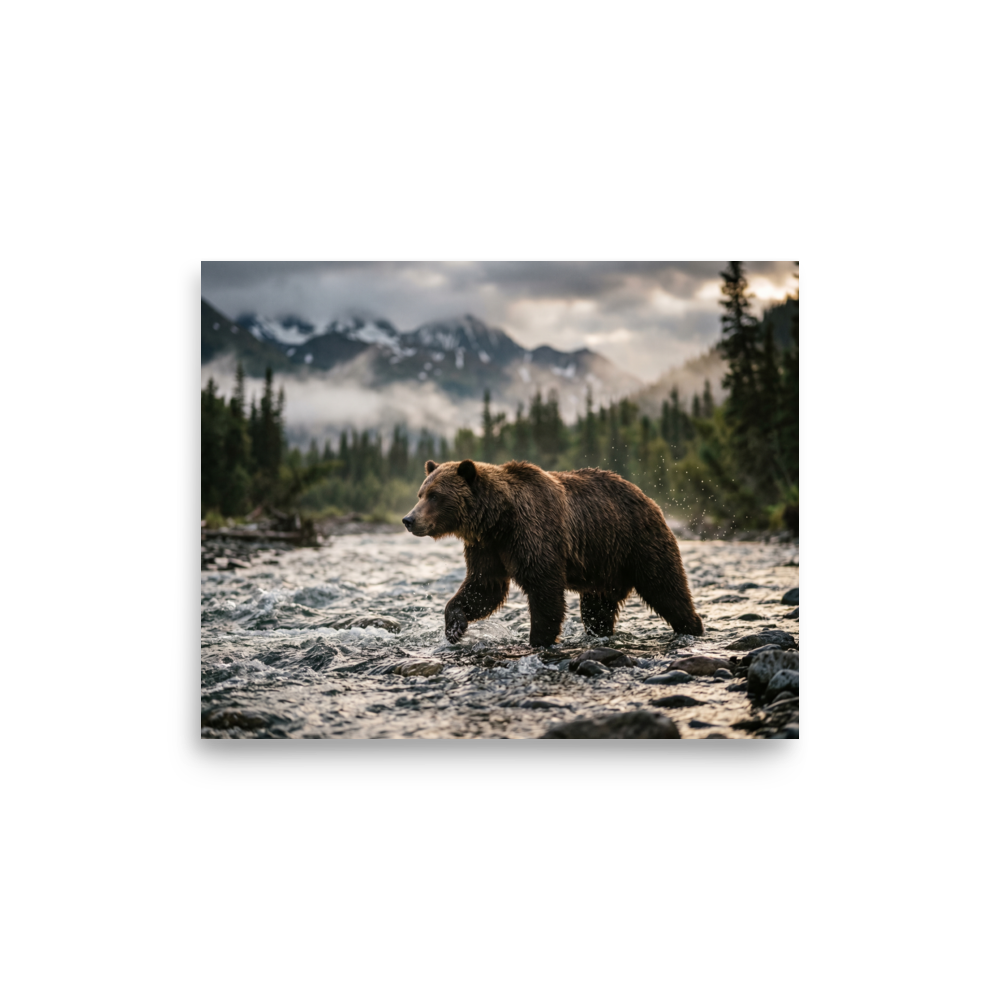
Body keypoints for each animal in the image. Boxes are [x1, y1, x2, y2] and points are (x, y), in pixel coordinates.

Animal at [402, 459, 703, 647]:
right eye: (421, 493)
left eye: (435, 495)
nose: (409, 519)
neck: (498, 521)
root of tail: (647, 498)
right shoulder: (487, 548)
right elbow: (484, 587)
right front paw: (454, 626)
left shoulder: (533, 534)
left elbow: (544, 590)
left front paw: (539, 640)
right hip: (603, 568)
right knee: (597, 611)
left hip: (637, 544)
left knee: (667, 588)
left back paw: (692, 628)